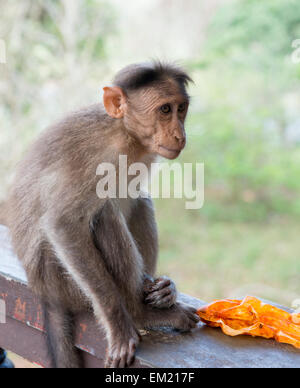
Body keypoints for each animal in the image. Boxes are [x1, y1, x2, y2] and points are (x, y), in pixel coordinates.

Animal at [5, 62, 199, 368]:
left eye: (181, 109)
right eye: (165, 110)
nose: (180, 135)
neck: (125, 134)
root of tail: (45, 291)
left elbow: (133, 198)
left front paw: (164, 286)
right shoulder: (93, 159)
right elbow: (63, 223)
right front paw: (120, 321)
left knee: (139, 201)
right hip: (64, 282)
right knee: (103, 214)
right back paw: (141, 314)